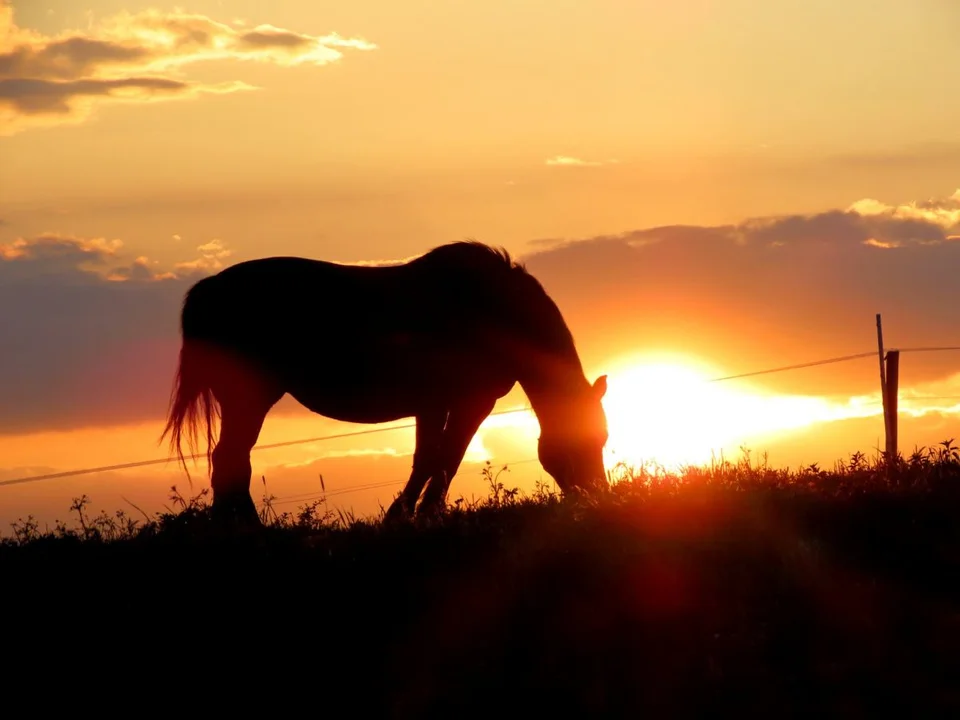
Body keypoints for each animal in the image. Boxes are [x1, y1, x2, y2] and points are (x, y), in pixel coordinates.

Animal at [160, 239, 604, 524]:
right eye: (587, 439)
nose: (596, 494)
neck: (492, 310)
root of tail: (208, 290)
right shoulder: (447, 401)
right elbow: (433, 457)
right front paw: (409, 514)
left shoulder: (464, 402)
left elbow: (444, 457)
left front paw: (423, 512)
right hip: (249, 397)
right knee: (230, 459)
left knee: (231, 460)